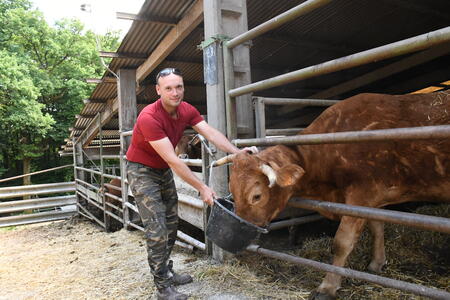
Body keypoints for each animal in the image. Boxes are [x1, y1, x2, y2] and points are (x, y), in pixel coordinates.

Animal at [229, 92, 450, 300]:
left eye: (256, 196)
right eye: (233, 192)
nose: (239, 231)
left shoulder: (362, 194)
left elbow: (342, 242)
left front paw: (327, 287)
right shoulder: (373, 199)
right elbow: (377, 227)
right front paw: (377, 263)